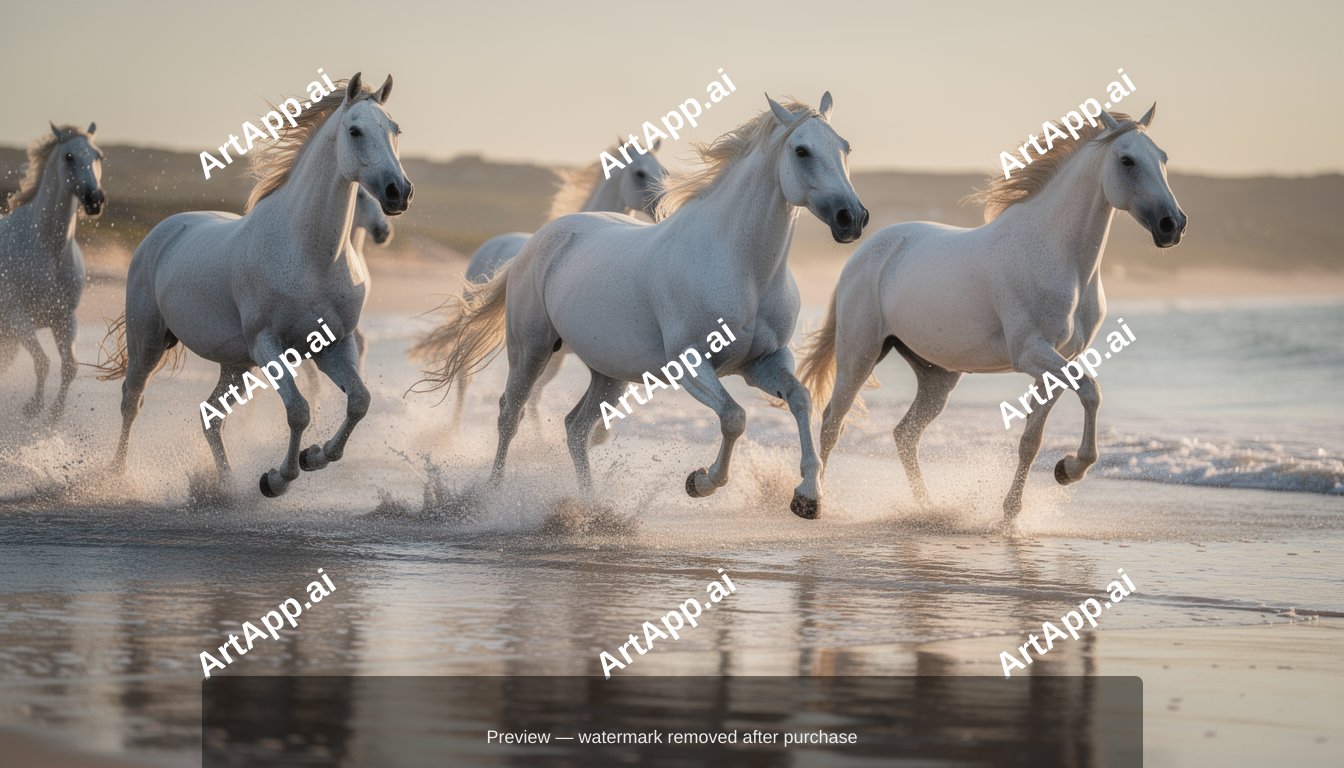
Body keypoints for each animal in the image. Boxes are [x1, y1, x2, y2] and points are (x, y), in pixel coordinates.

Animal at [0, 122, 105, 421]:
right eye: (69, 156)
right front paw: (33, 408)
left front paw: (53, 416)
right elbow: (43, 362)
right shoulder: (18, 318)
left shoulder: (64, 319)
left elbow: (69, 367)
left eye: (99, 156)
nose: (95, 199)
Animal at [96, 73, 412, 497]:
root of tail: (164, 229)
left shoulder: (334, 344)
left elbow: (359, 401)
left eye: (394, 130)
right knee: (132, 400)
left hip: (235, 364)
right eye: (355, 130)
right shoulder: (268, 345)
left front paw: (314, 456)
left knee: (210, 416)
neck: (308, 254)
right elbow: (299, 411)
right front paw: (277, 479)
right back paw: (116, 477)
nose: (399, 192)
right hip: (147, 339)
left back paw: (225, 485)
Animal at [798, 105, 1186, 522]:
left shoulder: (1057, 362)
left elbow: (1032, 439)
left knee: (905, 434)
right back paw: (814, 502)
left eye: (1162, 158)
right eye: (1127, 160)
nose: (1173, 225)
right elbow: (1090, 391)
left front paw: (1015, 510)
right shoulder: (1032, 353)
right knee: (833, 421)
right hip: (861, 353)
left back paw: (927, 508)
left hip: (937, 376)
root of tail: (862, 254)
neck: (1058, 257)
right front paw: (1070, 469)